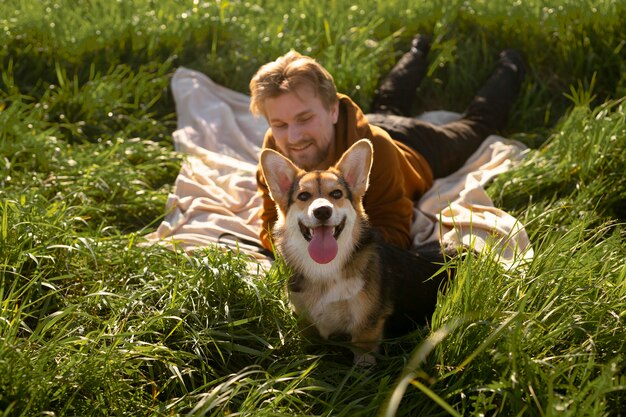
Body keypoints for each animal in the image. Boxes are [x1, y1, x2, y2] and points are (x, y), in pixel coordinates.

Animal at [260, 138, 448, 362]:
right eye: (303, 196)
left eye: (337, 194)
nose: (322, 211)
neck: (325, 270)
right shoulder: (305, 323)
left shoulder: (366, 328)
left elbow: (363, 357)